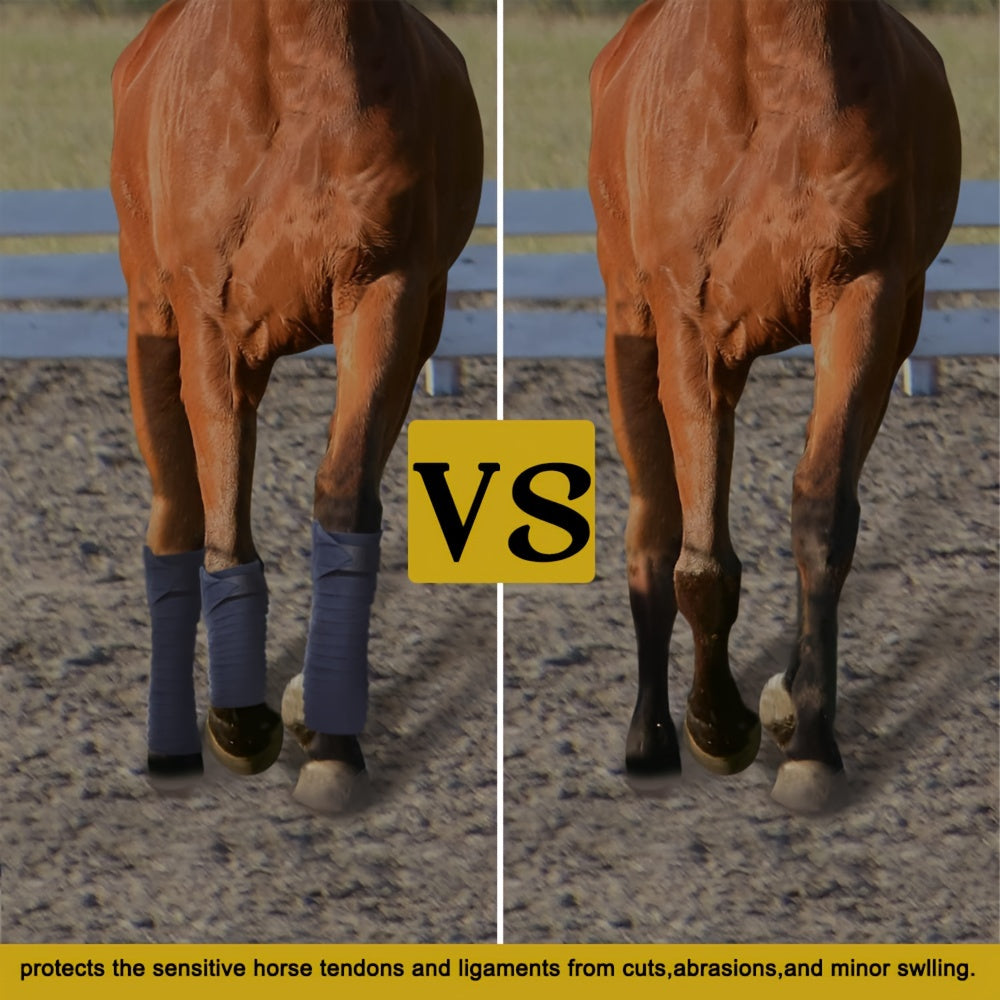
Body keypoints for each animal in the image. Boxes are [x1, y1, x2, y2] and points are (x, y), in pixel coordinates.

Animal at [110, 0, 483, 813]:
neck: (296, 68)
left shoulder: (385, 295)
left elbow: (343, 495)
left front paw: (332, 744)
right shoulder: (206, 319)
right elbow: (221, 513)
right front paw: (238, 721)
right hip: (153, 326)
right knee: (176, 516)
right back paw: (173, 746)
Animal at [588, 0, 960, 812]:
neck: (771, 70)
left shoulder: (861, 298)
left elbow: (822, 514)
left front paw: (810, 740)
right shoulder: (686, 323)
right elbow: (697, 558)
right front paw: (717, 727)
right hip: (634, 332)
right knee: (655, 523)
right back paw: (650, 740)